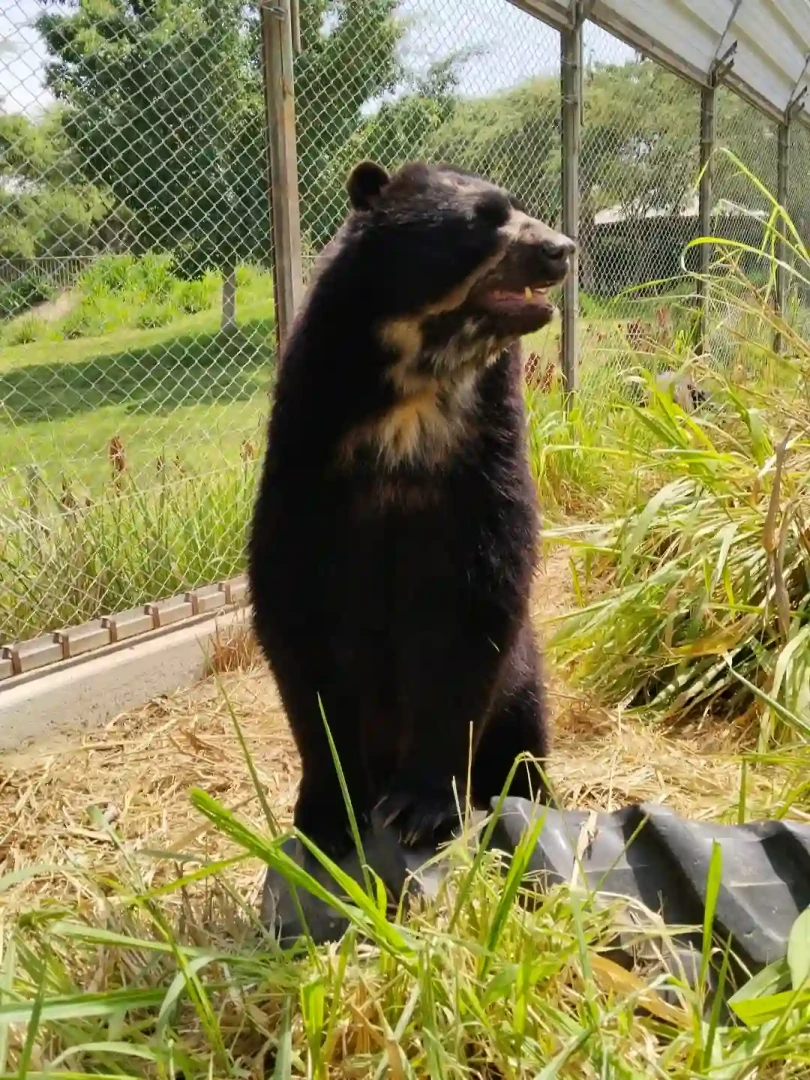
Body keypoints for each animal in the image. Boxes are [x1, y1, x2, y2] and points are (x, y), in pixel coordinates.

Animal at [248, 159, 574, 859]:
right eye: (485, 219)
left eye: (519, 208)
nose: (560, 249)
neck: (417, 391)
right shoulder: (308, 450)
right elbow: (295, 612)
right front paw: (328, 814)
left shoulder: (484, 456)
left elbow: (474, 601)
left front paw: (420, 808)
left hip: (524, 682)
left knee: (523, 737)